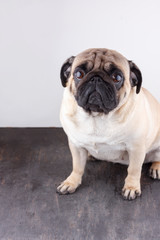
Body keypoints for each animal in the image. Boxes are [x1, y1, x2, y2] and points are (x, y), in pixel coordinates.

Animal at [56, 47, 160, 200]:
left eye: (117, 77)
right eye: (79, 74)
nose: (96, 78)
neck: (97, 116)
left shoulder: (136, 148)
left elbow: (134, 170)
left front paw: (131, 187)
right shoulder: (76, 145)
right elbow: (77, 167)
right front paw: (71, 182)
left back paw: (156, 168)